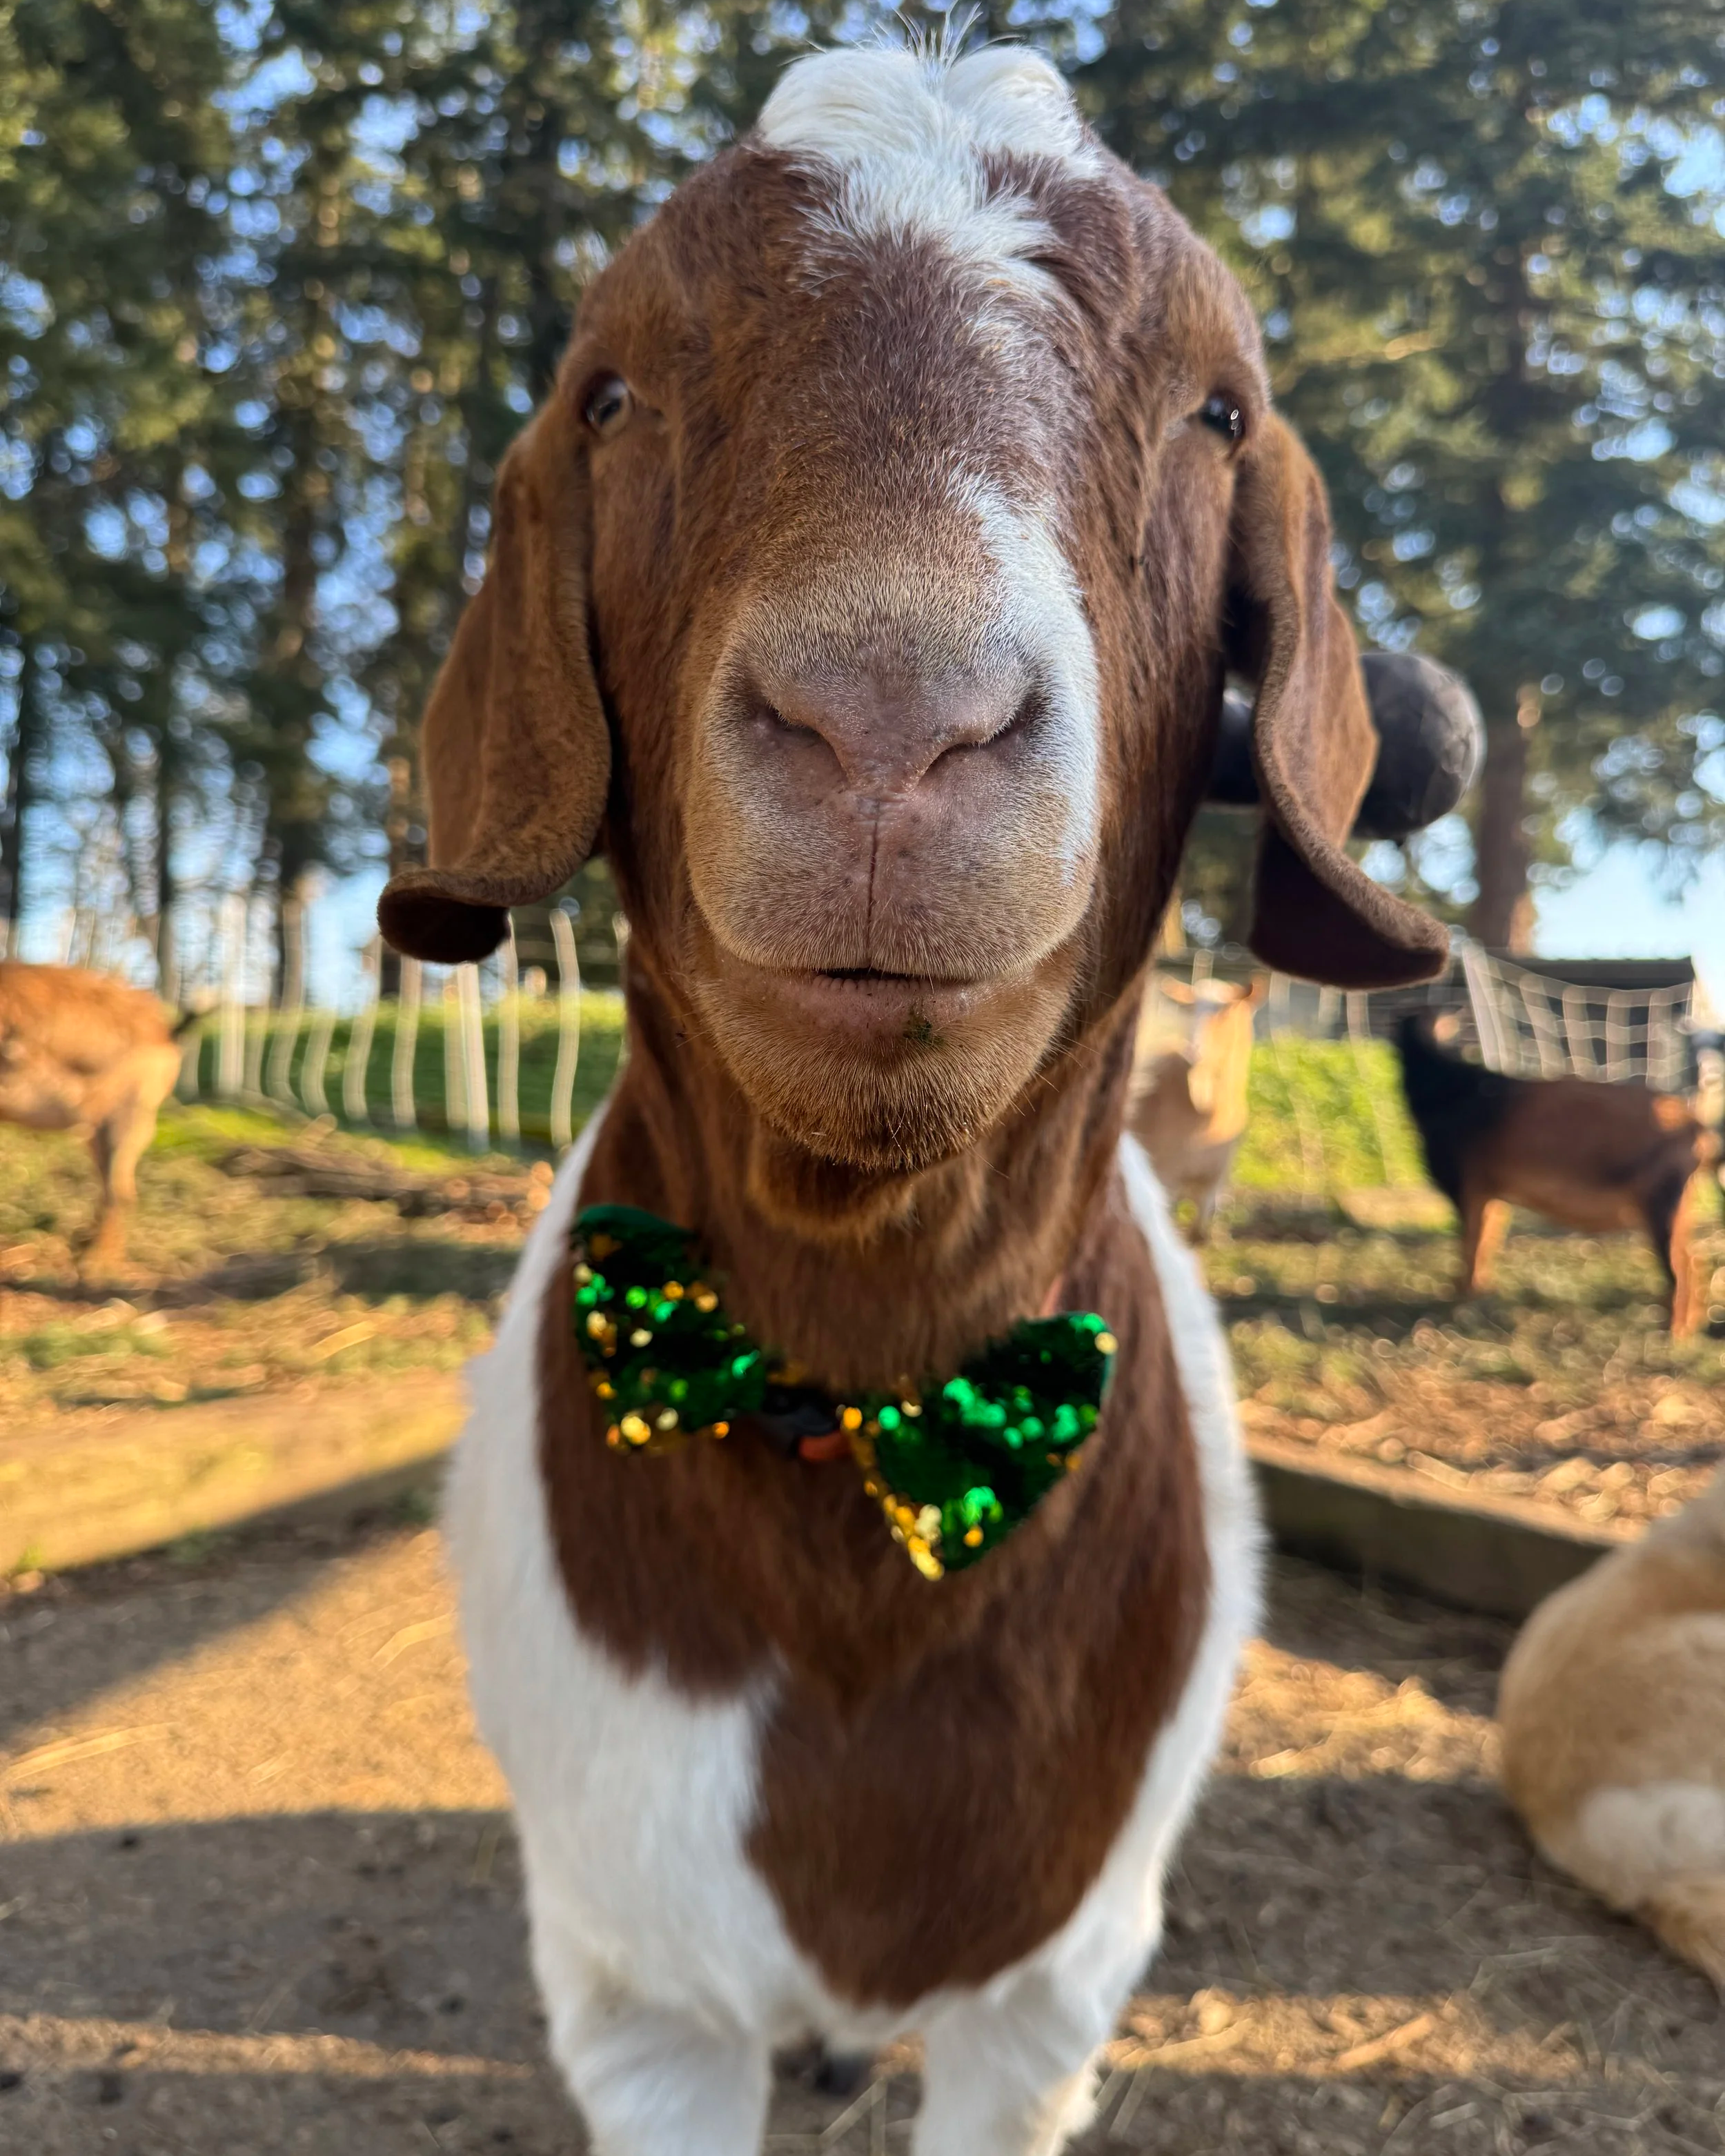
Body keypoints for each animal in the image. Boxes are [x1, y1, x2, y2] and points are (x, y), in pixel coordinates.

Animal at [0, 960, 189, 1273]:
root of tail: (165, 1033)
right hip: (97, 1128)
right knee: (108, 1186)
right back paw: (85, 1243)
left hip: (130, 1117)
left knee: (120, 1192)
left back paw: (95, 1265)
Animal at [1130, 974, 1265, 1237]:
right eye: (1190, 1009)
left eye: (1226, 1010)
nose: (1195, 1050)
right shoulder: (1164, 1178)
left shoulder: (1214, 1182)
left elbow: (1199, 1233)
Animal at [1395, 1014, 1714, 1336]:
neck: (1447, 1085)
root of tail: (1693, 1122)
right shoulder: (1491, 1197)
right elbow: (1485, 1243)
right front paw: (1479, 1294)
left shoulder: (1466, 1190)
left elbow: (1470, 1247)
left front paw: (1460, 1302)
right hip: (1680, 1208)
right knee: (1694, 1261)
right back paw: (1688, 1323)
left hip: (1661, 1205)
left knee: (1680, 1269)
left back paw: (1675, 1332)